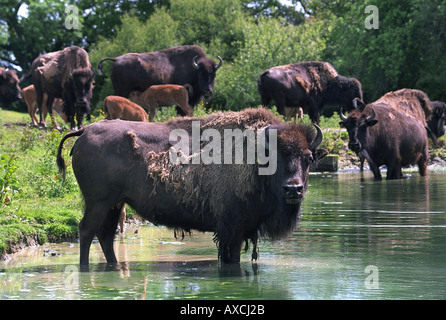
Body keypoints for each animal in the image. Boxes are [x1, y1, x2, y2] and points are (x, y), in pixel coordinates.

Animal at [56, 107, 328, 264]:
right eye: (275, 158)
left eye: (308, 158)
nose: (293, 189)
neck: (255, 158)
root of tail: (85, 131)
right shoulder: (231, 230)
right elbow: (231, 259)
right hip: (99, 203)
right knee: (87, 231)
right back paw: (85, 269)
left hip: (115, 204)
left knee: (105, 235)